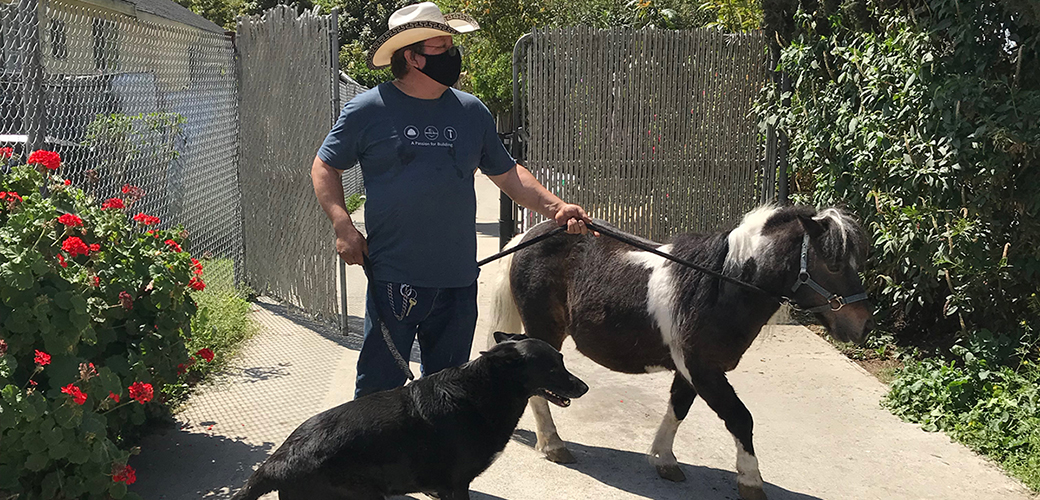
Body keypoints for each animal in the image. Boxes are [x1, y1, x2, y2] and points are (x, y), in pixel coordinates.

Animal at [229, 330, 586, 498]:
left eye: (562, 360)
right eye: (551, 367)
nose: (583, 387)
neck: (484, 389)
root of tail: (275, 462)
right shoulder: (457, 486)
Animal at [486, 203, 869, 498]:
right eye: (833, 264)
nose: (863, 325)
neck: (720, 286)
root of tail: (526, 237)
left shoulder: (691, 371)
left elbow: (678, 409)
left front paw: (664, 460)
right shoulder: (704, 369)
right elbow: (740, 418)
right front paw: (750, 480)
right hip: (544, 332)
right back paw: (553, 444)